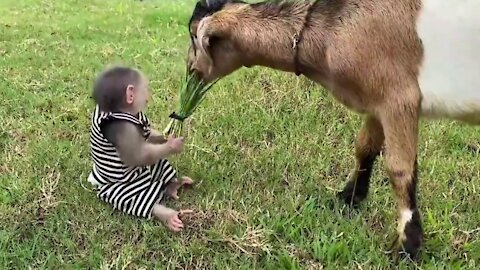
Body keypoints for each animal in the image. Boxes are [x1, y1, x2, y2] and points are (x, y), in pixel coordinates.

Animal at [86, 65, 193, 232]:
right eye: (144, 89)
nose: (149, 95)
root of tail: (95, 181)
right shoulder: (123, 129)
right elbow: (137, 155)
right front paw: (173, 144)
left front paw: (167, 136)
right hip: (122, 191)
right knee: (140, 201)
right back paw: (169, 216)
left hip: (157, 166)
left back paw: (173, 186)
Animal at [186, 0, 480, 260]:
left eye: (193, 35)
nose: (191, 72)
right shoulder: (377, 102)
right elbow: (364, 148)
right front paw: (349, 198)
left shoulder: (399, 98)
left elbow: (399, 170)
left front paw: (408, 245)